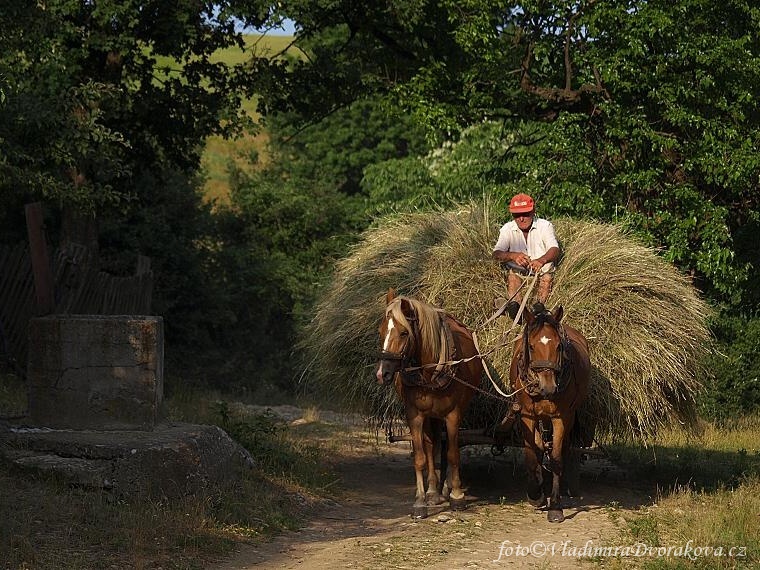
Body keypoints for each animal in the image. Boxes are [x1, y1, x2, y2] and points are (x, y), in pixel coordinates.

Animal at [376, 288, 480, 516]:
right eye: (381, 331)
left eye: (404, 333)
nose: (382, 374)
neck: (430, 372)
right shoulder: (414, 415)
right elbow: (420, 457)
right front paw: (420, 501)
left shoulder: (453, 415)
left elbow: (453, 454)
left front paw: (457, 495)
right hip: (429, 416)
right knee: (432, 445)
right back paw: (433, 491)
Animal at [510, 304, 592, 520]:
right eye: (531, 346)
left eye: (558, 347)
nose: (548, 387)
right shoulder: (526, 416)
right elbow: (531, 457)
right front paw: (535, 495)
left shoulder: (561, 418)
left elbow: (556, 459)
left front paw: (555, 506)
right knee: (539, 446)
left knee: (564, 450)